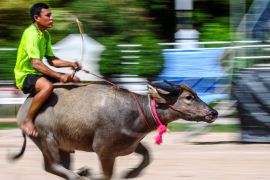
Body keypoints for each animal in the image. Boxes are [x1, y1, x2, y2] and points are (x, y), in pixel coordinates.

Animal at [9, 81, 218, 179]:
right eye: (189, 97)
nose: (213, 112)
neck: (135, 113)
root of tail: (24, 108)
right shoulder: (104, 151)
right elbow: (107, 175)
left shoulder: (132, 144)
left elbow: (148, 156)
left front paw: (130, 174)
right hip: (47, 139)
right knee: (53, 165)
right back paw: (79, 176)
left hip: (63, 146)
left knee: (55, 166)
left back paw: (81, 173)